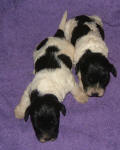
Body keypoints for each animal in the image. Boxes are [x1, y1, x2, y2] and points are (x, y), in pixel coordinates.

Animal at [14, 11, 87, 143]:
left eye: (54, 122)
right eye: (36, 125)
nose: (47, 139)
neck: (45, 90)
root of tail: (57, 36)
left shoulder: (70, 83)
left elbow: (76, 90)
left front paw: (82, 97)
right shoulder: (29, 89)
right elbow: (24, 100)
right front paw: (20, 112)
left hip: (70, 49)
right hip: (37, 49)